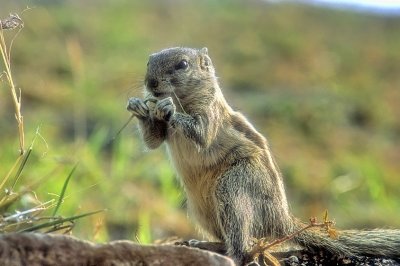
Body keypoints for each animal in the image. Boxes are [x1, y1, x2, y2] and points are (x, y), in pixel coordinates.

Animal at [127, 47, 400, 264]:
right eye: (149, 62)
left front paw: (167, 107)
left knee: (242, 247)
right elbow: (153, 141)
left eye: (182, 64)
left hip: (233, 189)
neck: (185, 99)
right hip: (202, 211)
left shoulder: (210, 114)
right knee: (232, 240)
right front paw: (138, 106)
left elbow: (201, 133)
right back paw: (202, 244)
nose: (151, 83)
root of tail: (282, 220)